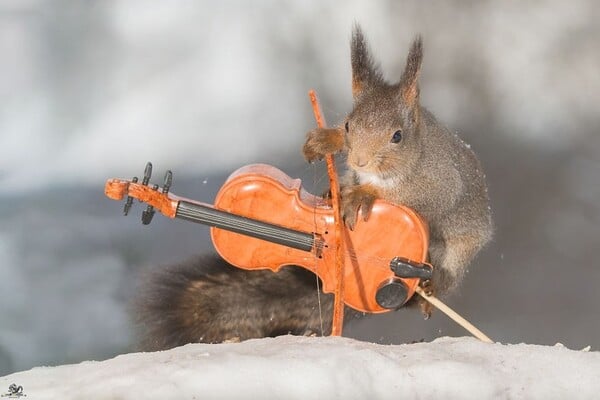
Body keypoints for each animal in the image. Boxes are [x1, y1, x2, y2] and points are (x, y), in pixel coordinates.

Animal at [132, 25, 492, 352]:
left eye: (397, 136)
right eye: (348, 125)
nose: (360, 161)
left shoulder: (441, 179)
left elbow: (425, 197)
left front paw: (362, 196)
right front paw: (326, 143)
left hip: (452, 256)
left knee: (436, 284)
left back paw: (426, 292)